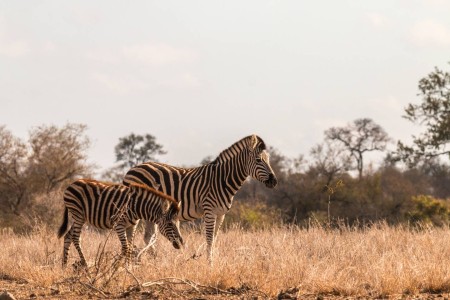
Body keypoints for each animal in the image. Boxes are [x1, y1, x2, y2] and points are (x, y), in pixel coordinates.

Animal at [123, 135, 278, 262]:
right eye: (258, 160)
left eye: (268, 160)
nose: (274, 181)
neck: (222, 180)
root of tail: (132, 169)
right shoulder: (209, 211)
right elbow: (209, 240)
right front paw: (209, 264)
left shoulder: (221, 214)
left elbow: (214, 239)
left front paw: (212, 261)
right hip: (136, 209)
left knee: (148, 236)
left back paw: (154, 261)